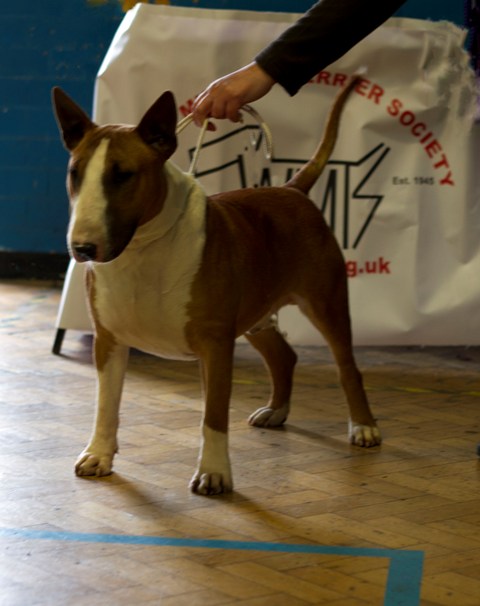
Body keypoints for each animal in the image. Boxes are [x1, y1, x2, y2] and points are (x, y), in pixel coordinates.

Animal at [52, 77, 380, 498]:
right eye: (75, 173)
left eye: (122, 174)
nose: (82, 249)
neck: (144, 249)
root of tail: (292, 189)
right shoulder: (108, 340)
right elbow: (106, 405)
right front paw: (98, 455)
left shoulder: (215, 345)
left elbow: (214, 415)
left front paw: (214, 473)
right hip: (256, 312)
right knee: (284, 356)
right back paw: (276, 410)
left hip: (326, 302)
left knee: (347, 367)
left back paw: (364, 427)